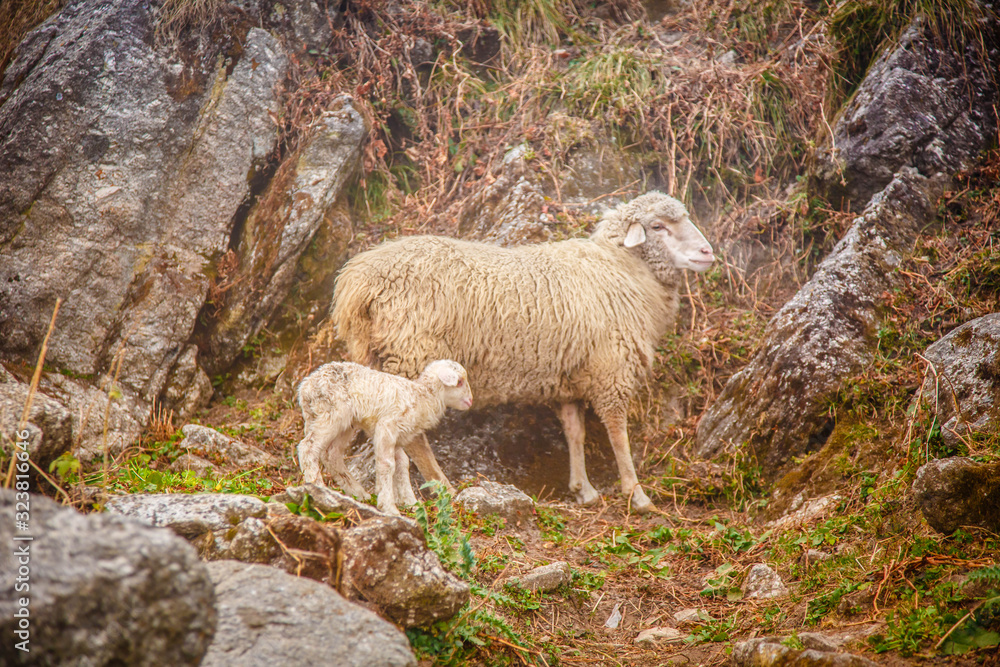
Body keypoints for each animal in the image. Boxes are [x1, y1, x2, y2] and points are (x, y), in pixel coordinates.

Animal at [296, 359, 473, 515]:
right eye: (459, 382)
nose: (470, 401)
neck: (423, 396)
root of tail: (305, 388)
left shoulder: (398, 437)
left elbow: (402, 464)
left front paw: (410, 503)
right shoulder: (386, 426)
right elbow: (387, 465)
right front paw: (389, 507)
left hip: (344, 422)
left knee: (331, 454)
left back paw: (359, 494)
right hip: (332, 413)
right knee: (308, 447)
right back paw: (318, 488)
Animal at [330, 191, 715, 513]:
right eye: (658, 226)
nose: (708, 252)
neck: (621, 270)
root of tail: (357, 281)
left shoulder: (569, 378)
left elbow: (575, 432)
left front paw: (583, 488)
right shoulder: (612, 371)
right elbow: (618, 435)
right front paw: (637, 494)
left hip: (376, 356)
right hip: (413, 351)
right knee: (416, 438)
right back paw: (443, 486)